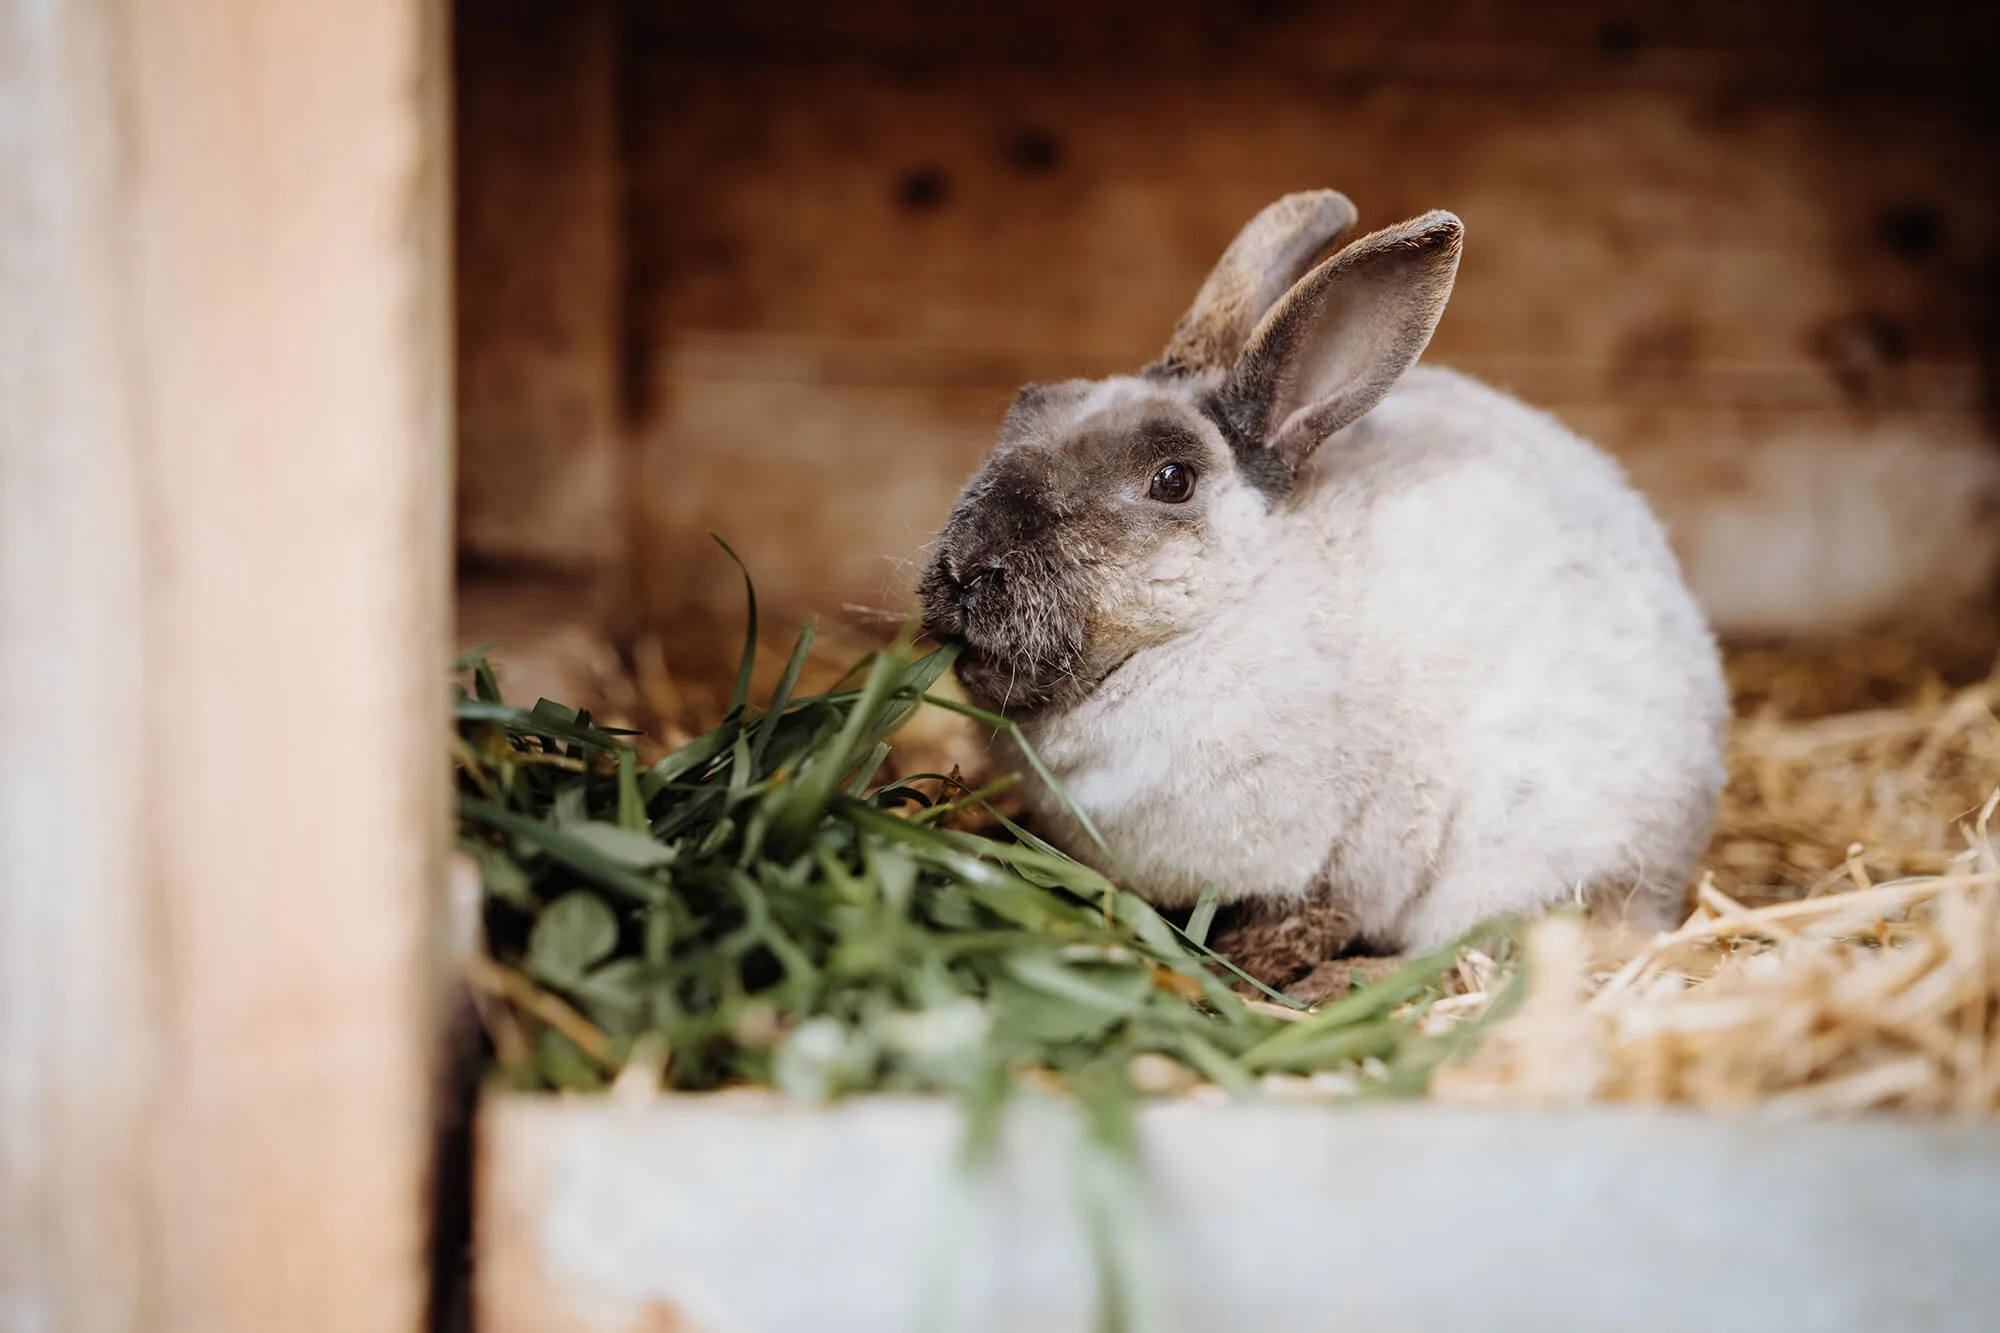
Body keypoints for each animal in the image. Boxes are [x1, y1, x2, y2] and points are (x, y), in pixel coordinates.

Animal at [919, 191, 1728, 953]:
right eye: (1027, 404)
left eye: (1172, 480)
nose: (965, 568)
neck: (1216, 616)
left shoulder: (1316, 862)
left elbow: (1297, 921)